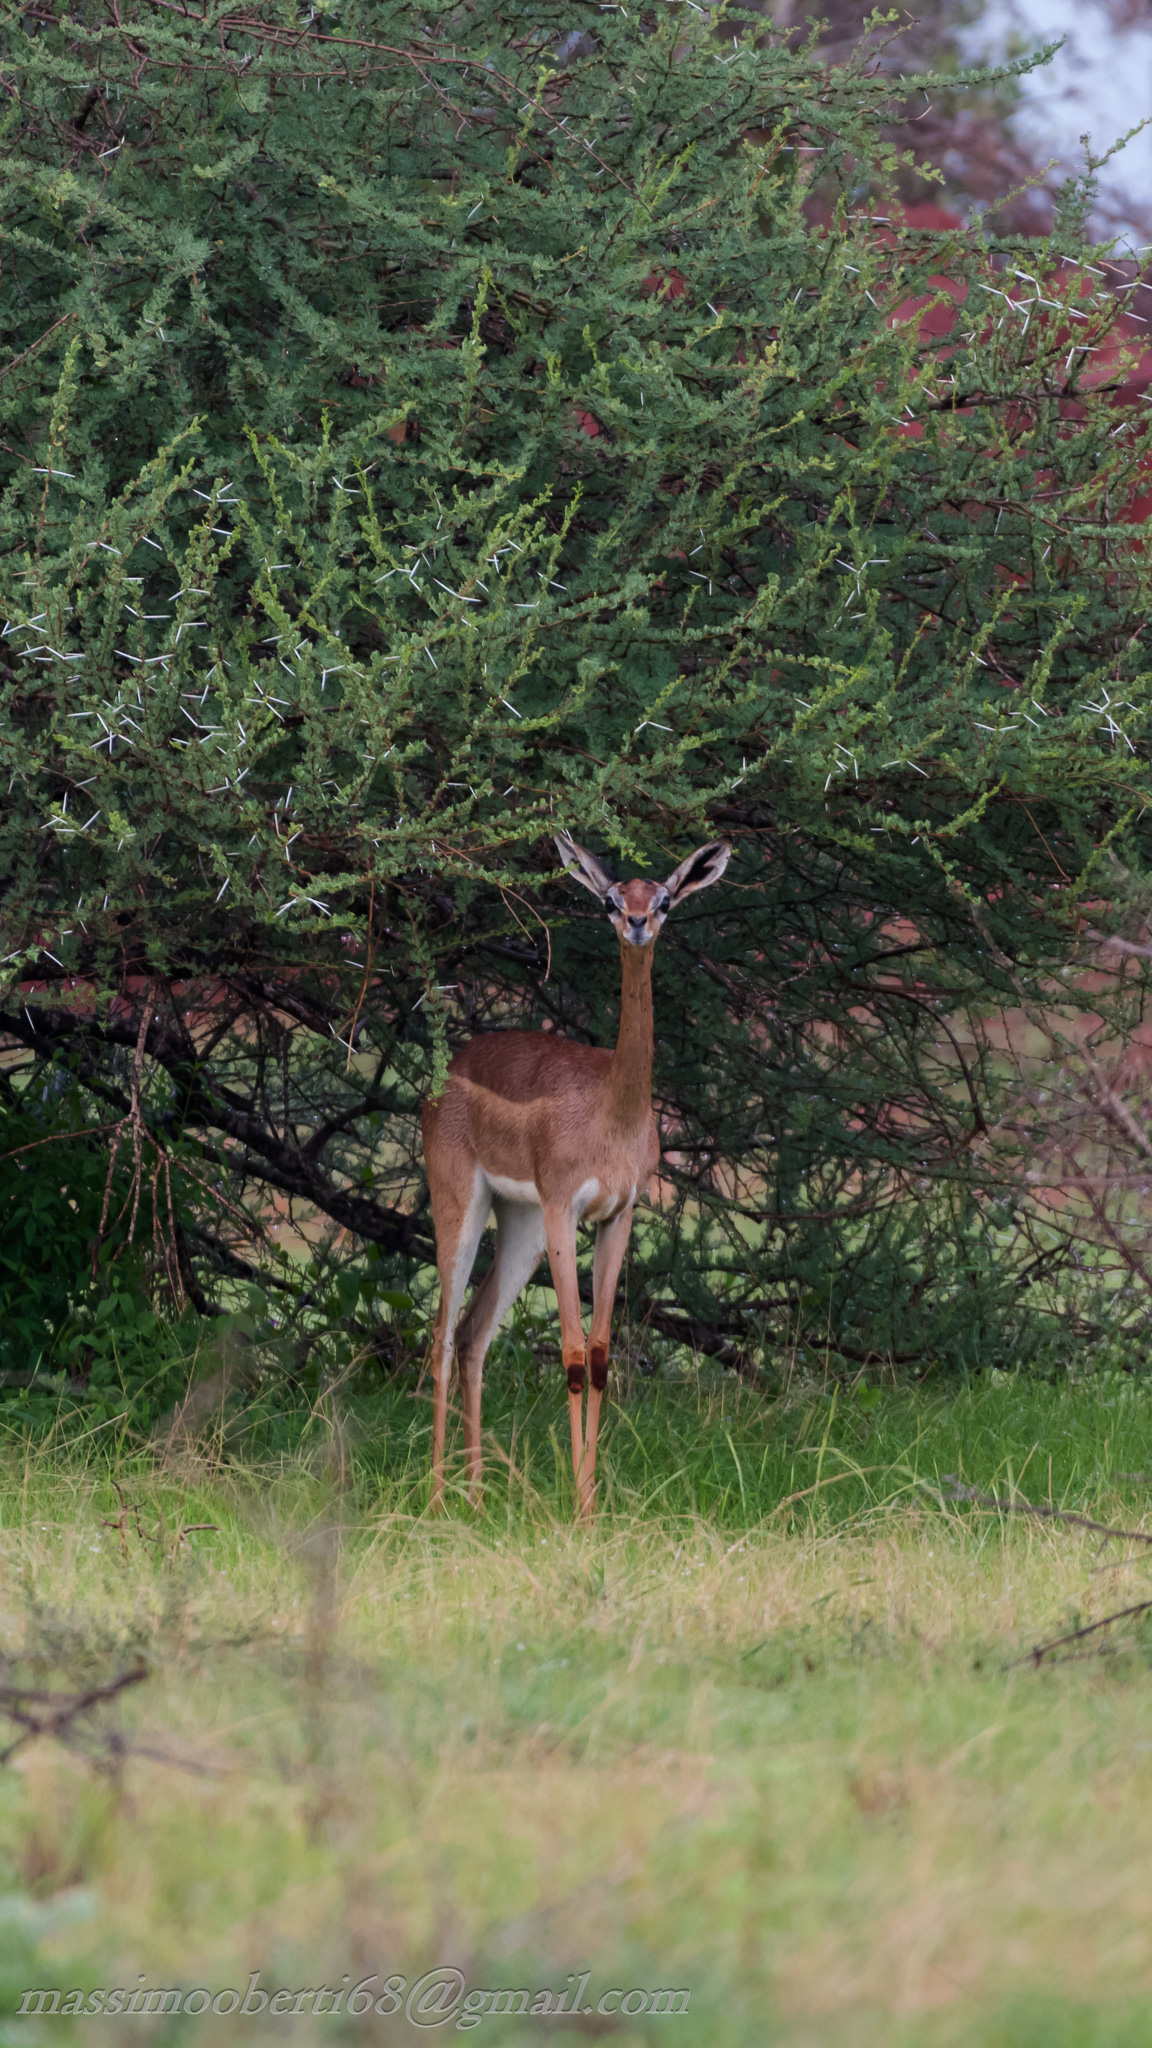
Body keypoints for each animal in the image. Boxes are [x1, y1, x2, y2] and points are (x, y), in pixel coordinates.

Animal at [421, 830, 732, 1516]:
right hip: (463, 1205)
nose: (637, 924)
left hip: (522, 1224)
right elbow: (567, 1354)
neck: (610, 1114)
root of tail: (453, 1066)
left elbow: (599, 1356)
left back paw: (477, 1498)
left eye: (664, 898)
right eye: (611, 899)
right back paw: (434, 1501)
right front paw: (577, 1508)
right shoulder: (566, 1205)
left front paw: (591, 1506)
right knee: (442, 1337)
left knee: (474, 1332)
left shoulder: (619, 1215)